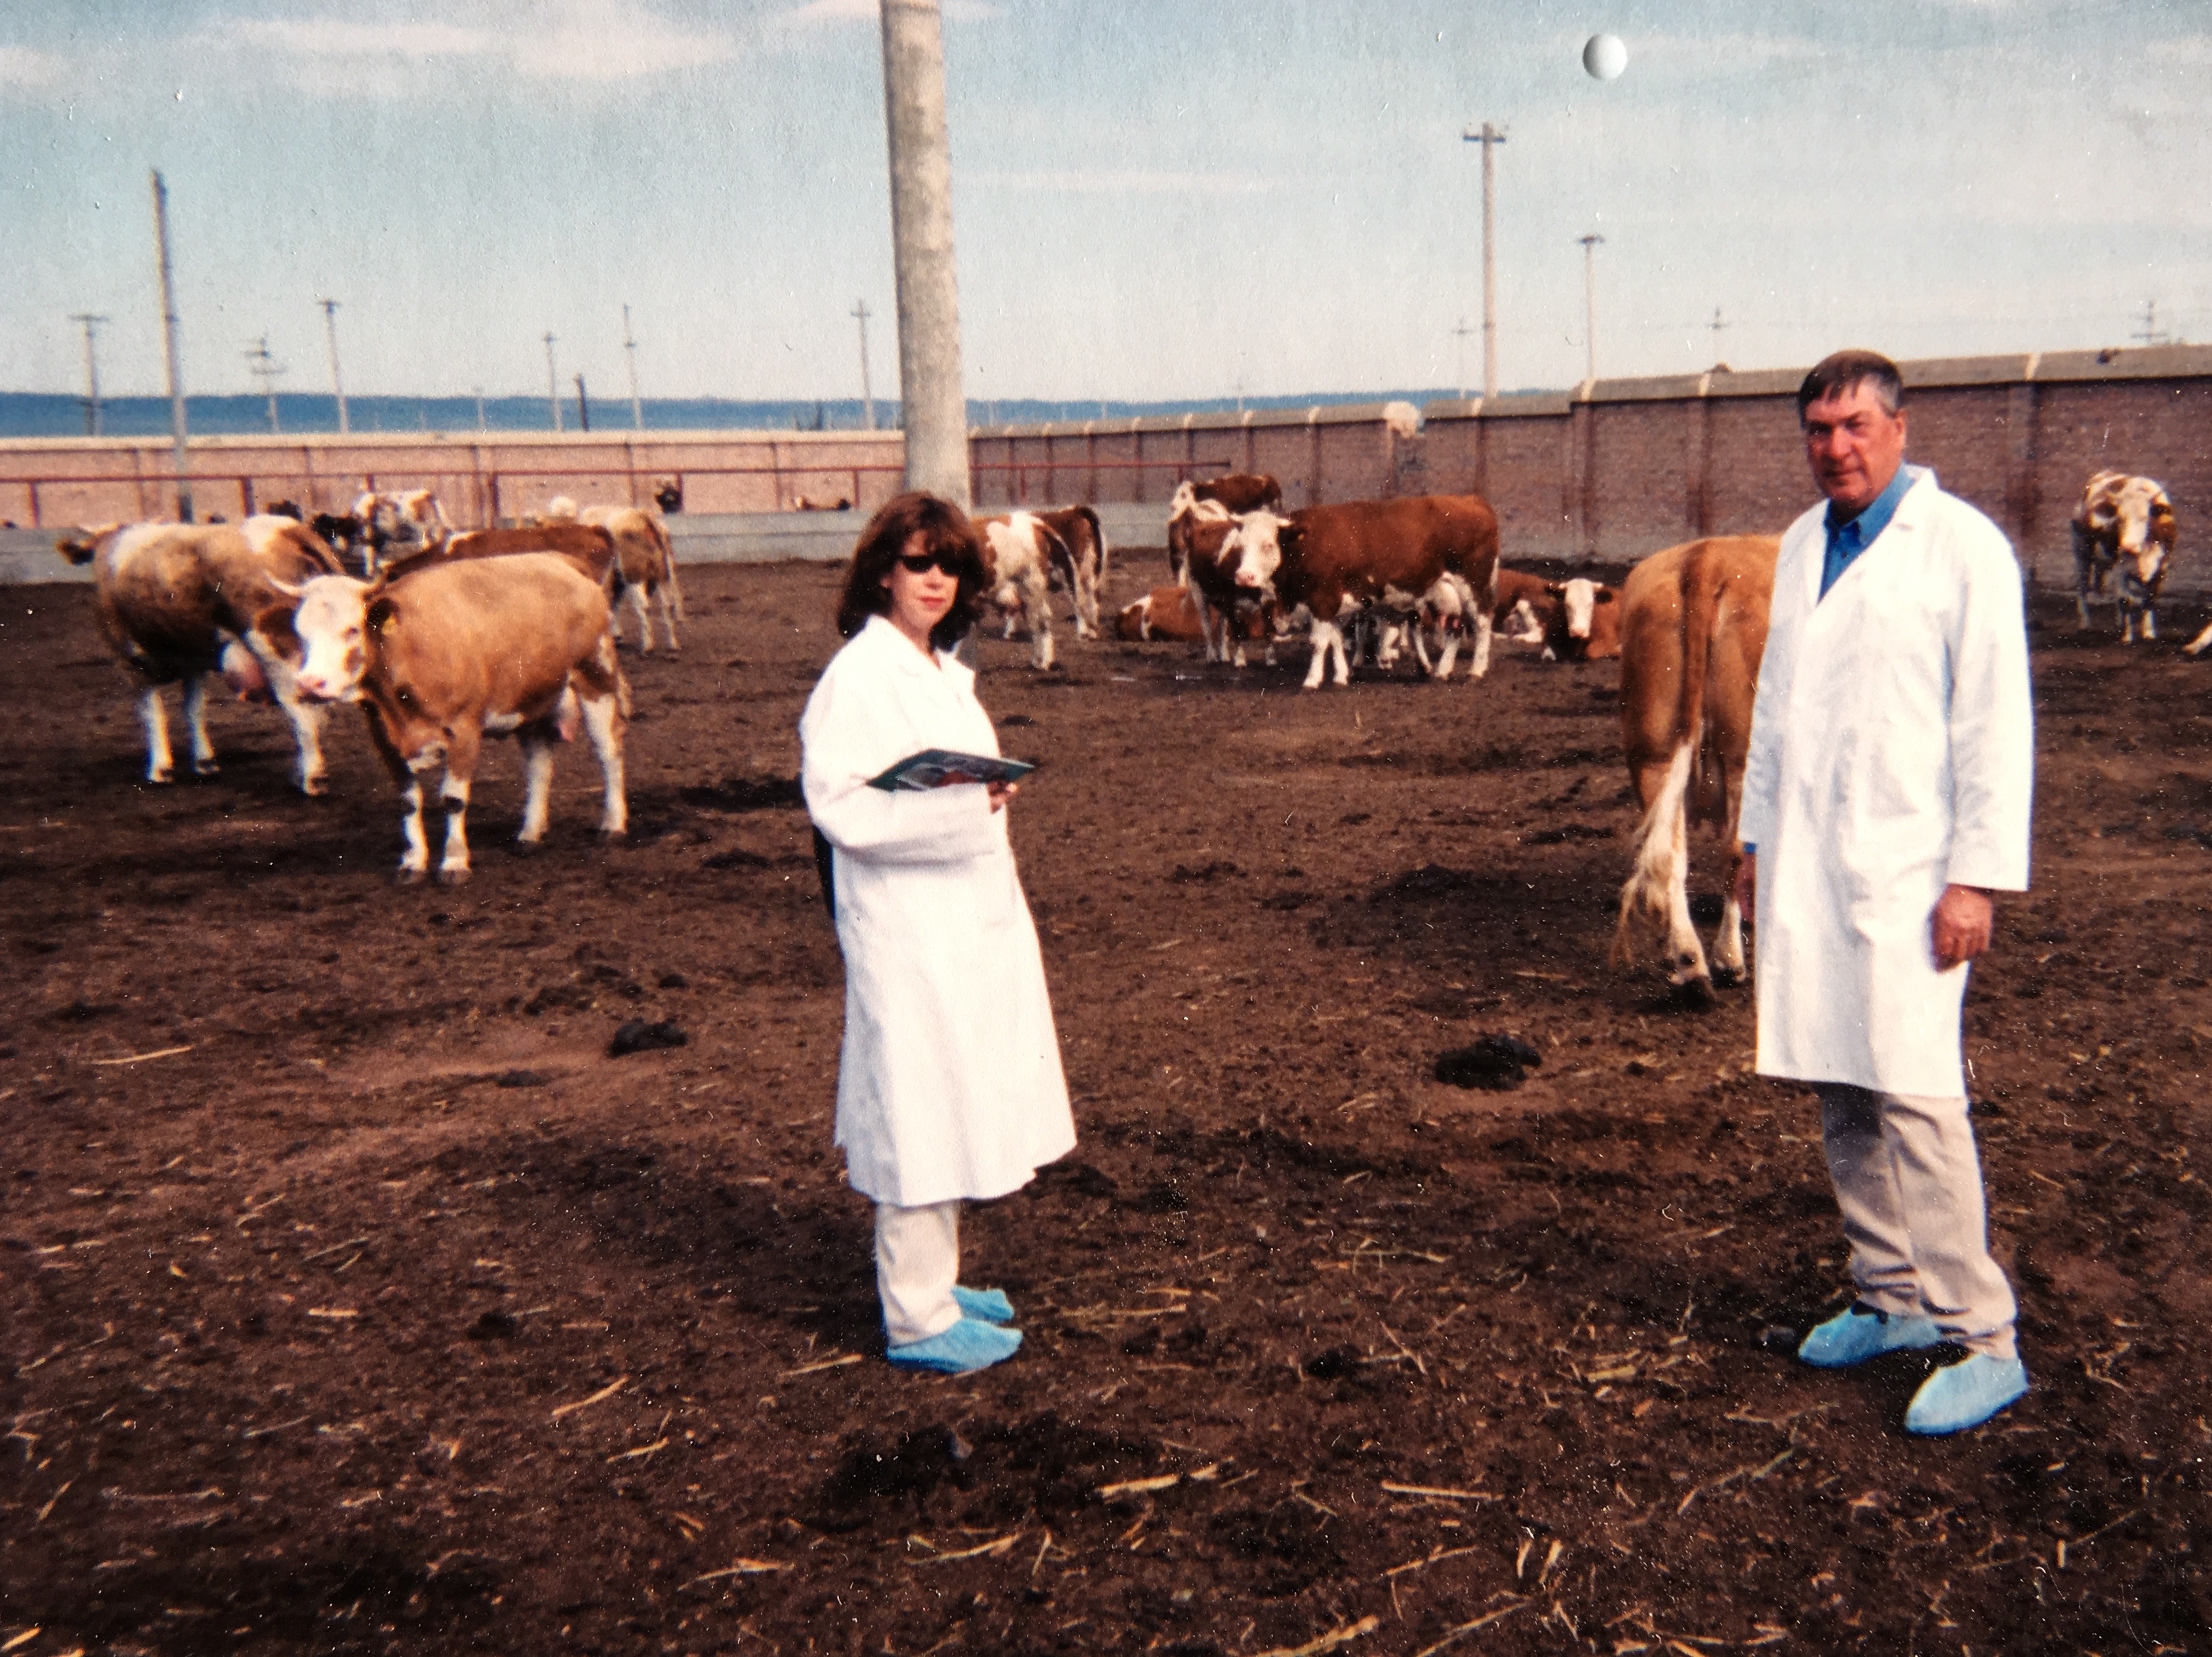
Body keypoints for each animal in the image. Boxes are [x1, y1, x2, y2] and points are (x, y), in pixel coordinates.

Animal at [56, 513, 343, 792]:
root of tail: (288, 529)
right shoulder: (193, 663)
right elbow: (194, 709)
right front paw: (204, 763)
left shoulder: (131, 661)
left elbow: (153, 714)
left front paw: (160, 770)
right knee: (320, 712)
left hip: (274, 653)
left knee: (301, 711)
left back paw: (313, 779)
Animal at [274, 553, 633, 884]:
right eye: (300, 632)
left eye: (351, 630)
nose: (309, 684)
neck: (409, 649)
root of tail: (561, 561)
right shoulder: (384, 736)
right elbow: (408, 801)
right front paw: (413, 862)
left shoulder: (464, 731)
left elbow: (454, 799)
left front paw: (455, 862)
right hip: (533, 699)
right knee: (539, 764)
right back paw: (530, 833)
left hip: (596, 677)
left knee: (608, 751)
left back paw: (613, 824)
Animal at [1610, 540, 1778, 1008]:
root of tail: (1709, 555)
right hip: (1742, 750)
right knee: (1736, 852)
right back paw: (1728, 960)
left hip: (1652, 751)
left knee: (1669, 856)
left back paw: (1690, 965)